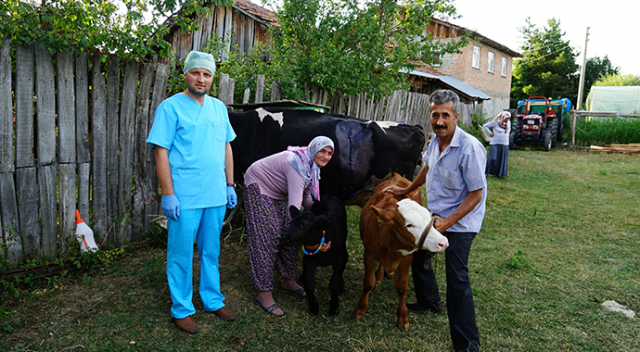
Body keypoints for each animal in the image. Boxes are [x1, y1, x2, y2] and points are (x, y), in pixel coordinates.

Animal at [352, 175, 448, 332]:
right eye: (409, 225)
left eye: (430, 218)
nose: (443, 242)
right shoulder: (369, 255)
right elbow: (368, 283)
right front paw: (360, 310)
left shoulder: (407, 258)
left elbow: (402, 287)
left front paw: (403, 317)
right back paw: (379, 278)